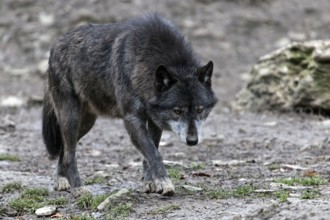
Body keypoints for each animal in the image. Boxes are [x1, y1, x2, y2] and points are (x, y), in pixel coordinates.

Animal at [42, 13, 217, 196]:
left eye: (200, 110)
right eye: (177, 111)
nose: (192, 141)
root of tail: (55, 44)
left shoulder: (154, 121)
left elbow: (151, 152)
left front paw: (151, 183)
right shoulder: (132, 119)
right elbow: (153, 153)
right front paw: (164, 182)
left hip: (86, 124)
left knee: (64, 149)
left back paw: (61, 179)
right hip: (71, 119)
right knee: (69, 154)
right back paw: (78, 187)